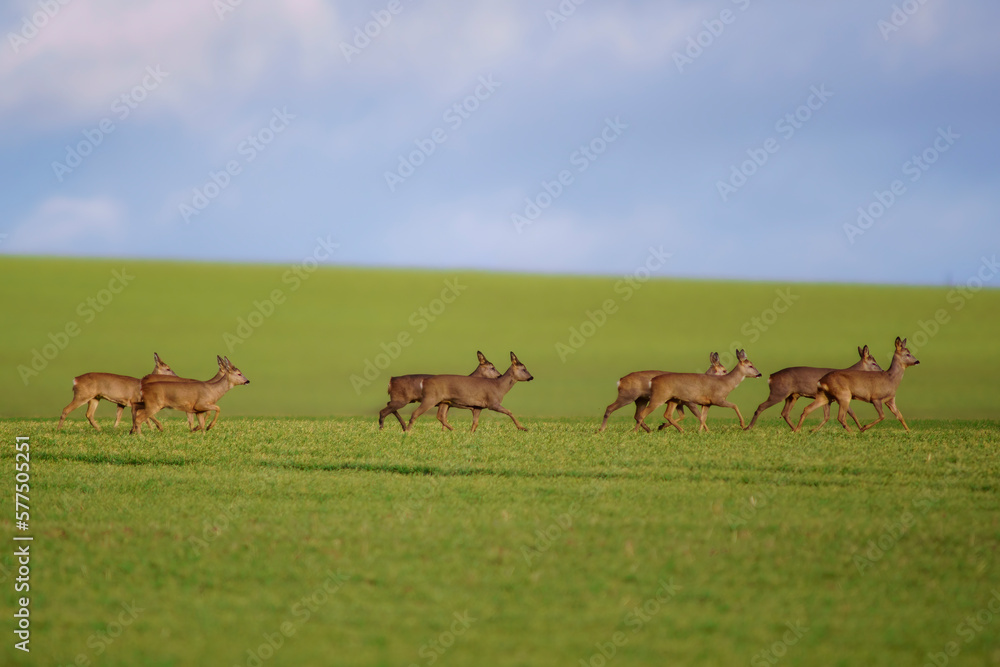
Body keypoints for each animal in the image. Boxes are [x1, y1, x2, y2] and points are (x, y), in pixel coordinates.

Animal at [404, 352, 534, 433]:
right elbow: (509, 411)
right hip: (431, 398)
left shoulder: (477, 407)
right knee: (416, 413)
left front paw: (470, 434)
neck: (499, 387)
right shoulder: (492, 403)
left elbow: (475, 423)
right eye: (524, 369)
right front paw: (523, 428)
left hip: (443, 401)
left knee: (440, 416)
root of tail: (424, 381)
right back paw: (407, 432)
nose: (531, 377)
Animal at [597, 352, 728, 432]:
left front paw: (661, 426)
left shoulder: (679, 402)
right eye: (724, 370)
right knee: (610, 407)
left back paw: (649, 430)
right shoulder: (689, 401)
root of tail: (620, 381)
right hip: (628, 396)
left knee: (637, 414)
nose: (727, 378)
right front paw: (706, 431)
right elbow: (698, 415)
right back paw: (601, 429)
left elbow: (682, 416)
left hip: (641, 399)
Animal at [745, 345, 883, 430]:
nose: (882, 371)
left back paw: (795, 429)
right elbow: (852, 413)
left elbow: (835, 415)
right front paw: (862, 429)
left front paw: (862, 428)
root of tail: (771, 377)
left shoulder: (831, 399)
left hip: (792, 396)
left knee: (785, 413)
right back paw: (748, 427)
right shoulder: (840, 397)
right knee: (761, 406)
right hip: (778, 393)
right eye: (874, 363)